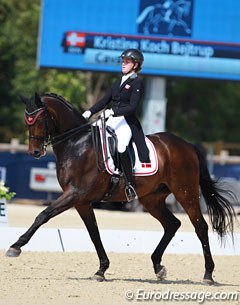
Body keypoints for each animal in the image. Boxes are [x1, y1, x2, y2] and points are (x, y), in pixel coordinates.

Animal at [5, 92, 236, 282]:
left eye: (39, 119)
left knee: (200, 227)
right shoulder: (81, 201)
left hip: (185, 193)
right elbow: (93, 232)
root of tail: (188, 145)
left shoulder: (74, 194)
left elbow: (43, 215)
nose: (35, 152)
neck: (76, 144)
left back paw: (208, 274)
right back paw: (158, 266)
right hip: (151, 198)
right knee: (172, 224)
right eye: (27, 121)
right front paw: (101, 270)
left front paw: (15, 247)